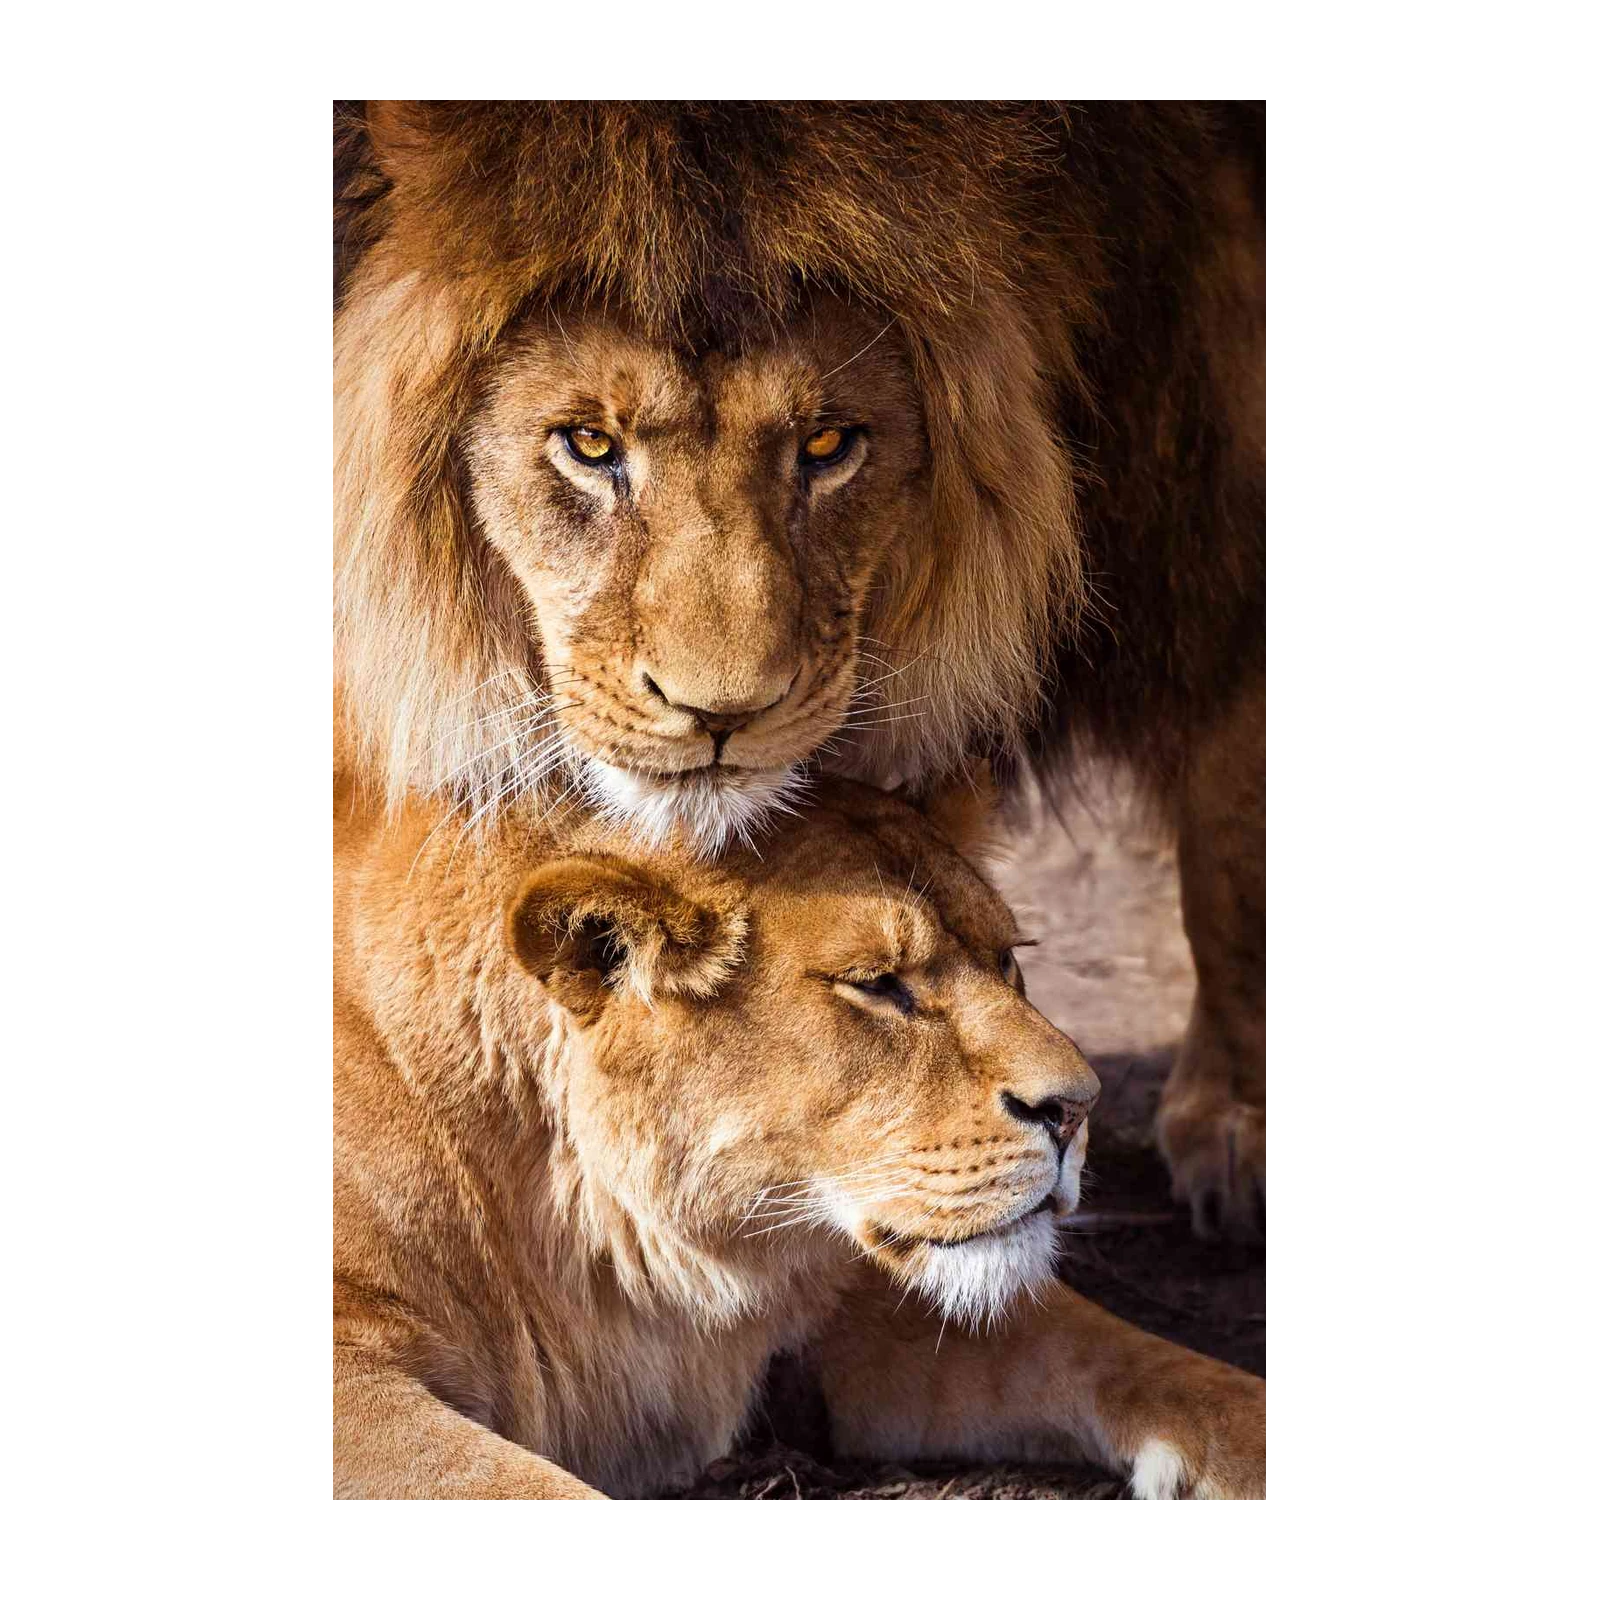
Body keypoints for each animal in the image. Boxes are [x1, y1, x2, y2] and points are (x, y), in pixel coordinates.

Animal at [330, 769, 1267, 1501]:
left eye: (1008, 960)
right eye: (879, 984)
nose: (1078, 1107)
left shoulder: (846, 1302)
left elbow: (1130, 1357)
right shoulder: (355, 1377)